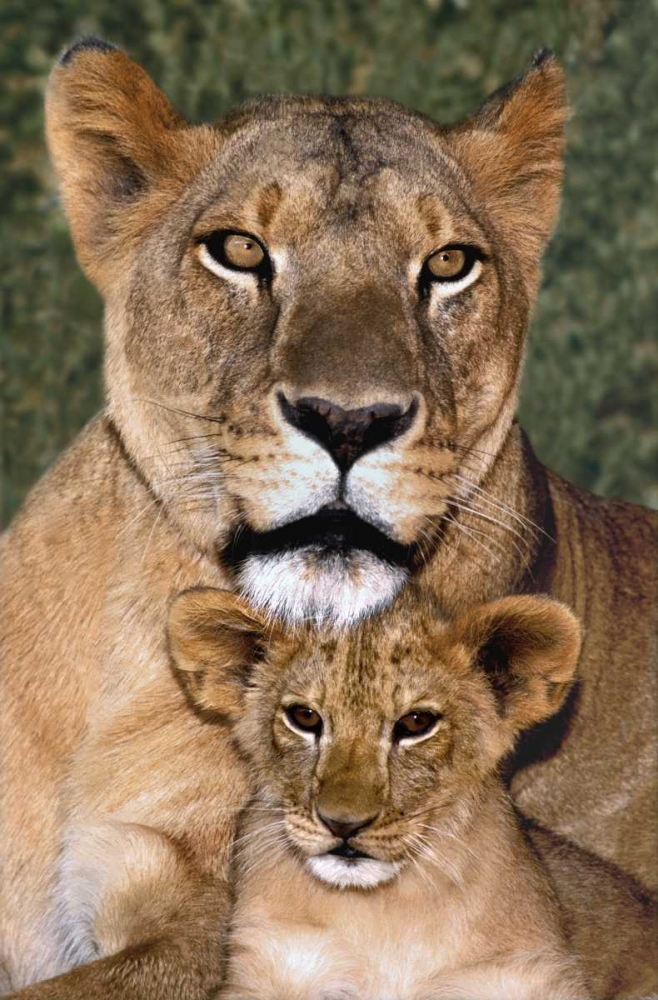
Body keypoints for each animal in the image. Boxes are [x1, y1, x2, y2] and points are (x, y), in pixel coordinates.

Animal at [166, 586, 655, 1000]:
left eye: (417, 723)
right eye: (304, 717)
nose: (343, 824)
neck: (386, 912)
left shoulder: (525, 975)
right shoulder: (268, 965)